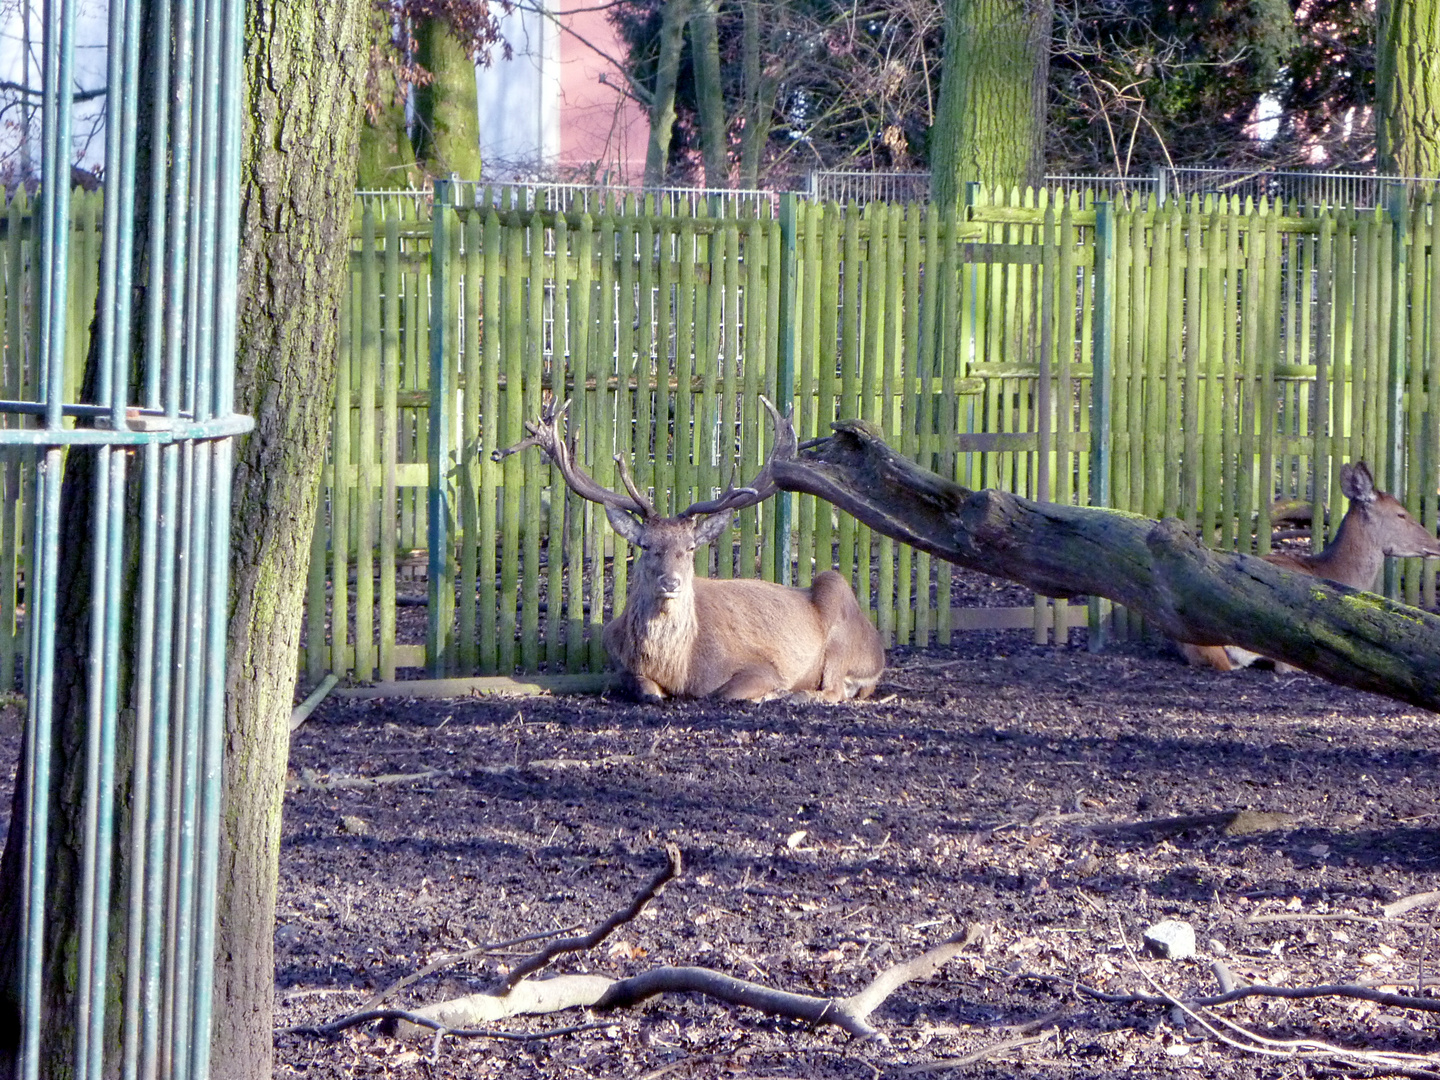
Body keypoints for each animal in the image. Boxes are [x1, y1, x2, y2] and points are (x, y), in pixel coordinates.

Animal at [495, 397, 881, 702]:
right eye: (646, 546)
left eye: (691, 547)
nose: (671, 582)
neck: (680, 667)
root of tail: (878, 648)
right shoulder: (619, 663)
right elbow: (642, 689)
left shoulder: (763, 665)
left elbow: (722, 692)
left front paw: (773, 692)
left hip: (840, 622)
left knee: (833, 689)